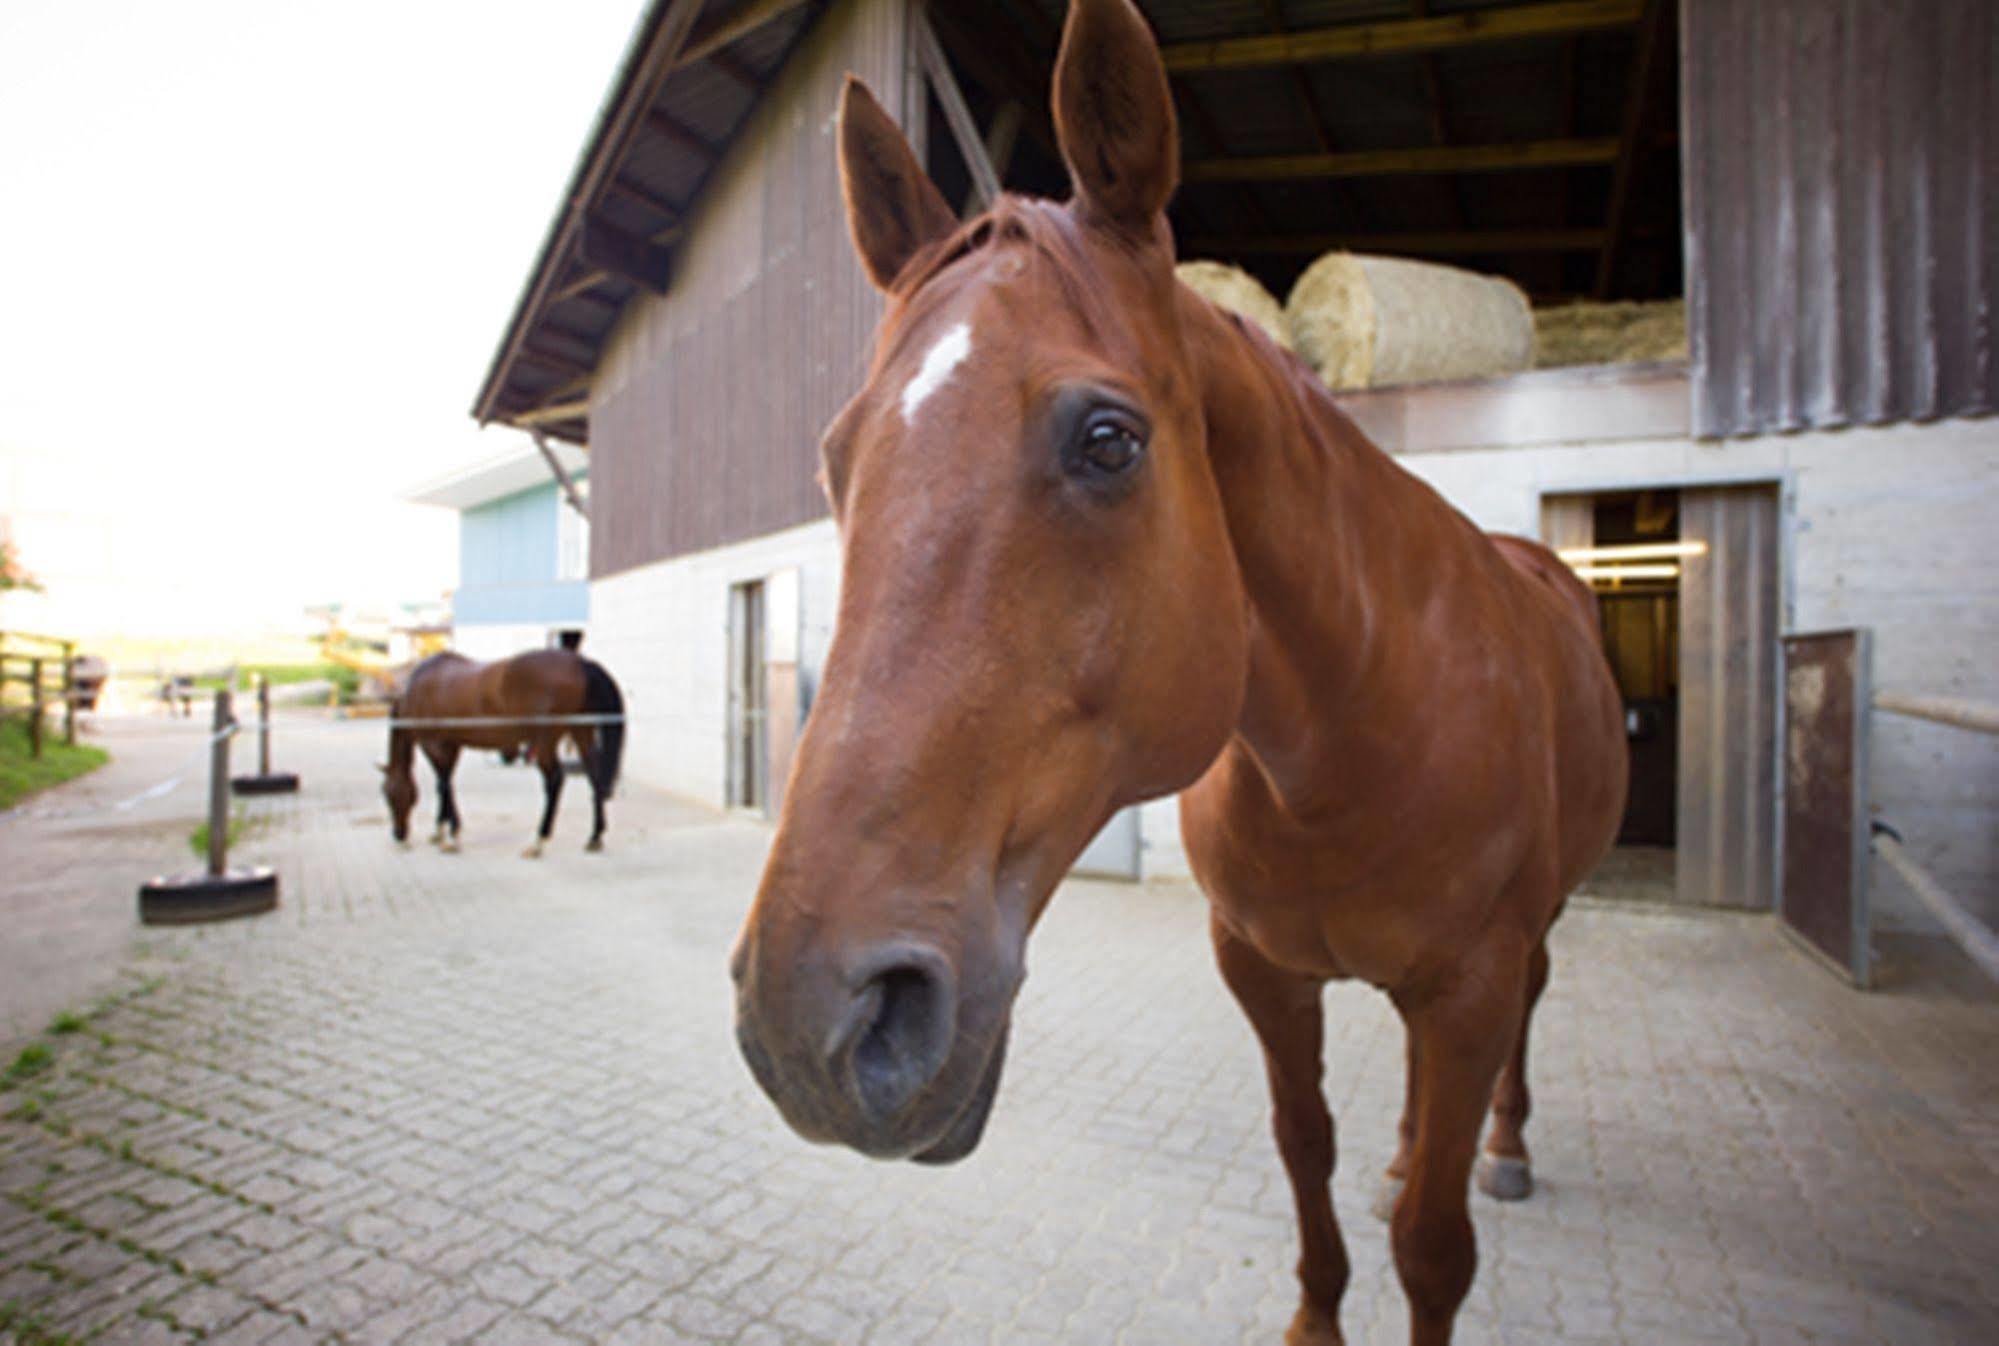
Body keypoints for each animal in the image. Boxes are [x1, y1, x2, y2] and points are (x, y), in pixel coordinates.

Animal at [377, 648, 619, 856]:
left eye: (388, 794)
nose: (398, 835)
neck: (417, 690)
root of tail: (579, 662)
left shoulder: (433, 745)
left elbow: (444, 785)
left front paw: (451, 834)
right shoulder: (451, 746)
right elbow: (444, 784)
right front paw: (440, 831)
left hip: (545, 742)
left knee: (555, 780)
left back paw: (538, 841)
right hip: (580, 731)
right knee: (594, 774)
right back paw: (595, 837)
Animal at [727, 5, 1631, 1336]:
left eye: (1109, 440)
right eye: (837, 463)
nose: (812, 1024)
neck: (1351, 744)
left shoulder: (1468, 984)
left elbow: (1432, 1249)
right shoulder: (1262, 971)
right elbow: (1303, 1144)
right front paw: (1317, 1307)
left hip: (1533, 934)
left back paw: (1504, 1145)